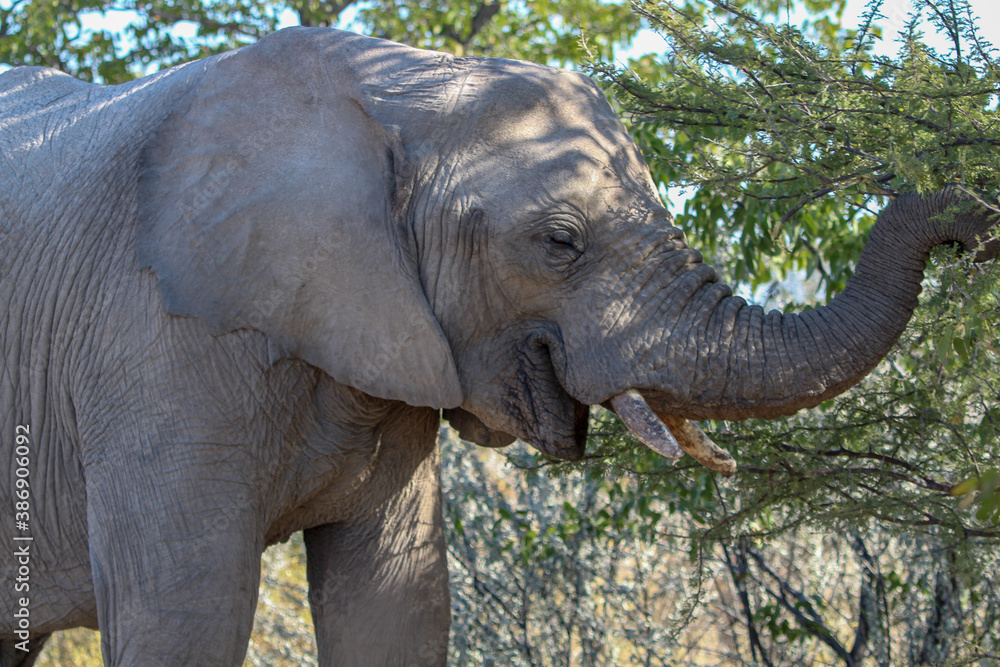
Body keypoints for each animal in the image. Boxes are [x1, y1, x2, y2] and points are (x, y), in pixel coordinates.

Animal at [1, 25, 997, 667]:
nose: (974, 215)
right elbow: (187, 615)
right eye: (559, 242)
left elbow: (397, 604)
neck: (396, 89)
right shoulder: (151, 343)